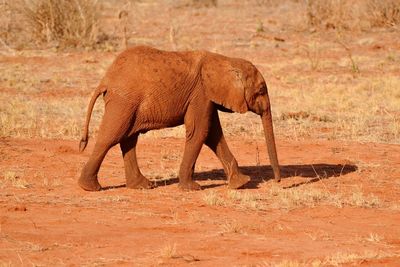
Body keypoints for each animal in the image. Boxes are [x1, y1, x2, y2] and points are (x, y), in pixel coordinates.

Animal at [77, 46, 278, 193]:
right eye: (261, 90)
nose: (278, 181)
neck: (225, 60)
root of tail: (106, 79)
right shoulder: (201, 94)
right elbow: (200, 132)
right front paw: (192, 189)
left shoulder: (207, 97)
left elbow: (213, 135)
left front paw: (241, 183)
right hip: (123, 101)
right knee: (111, 136)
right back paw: (90, 188)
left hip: (128, 103)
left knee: (128, 139)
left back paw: (143, 186)